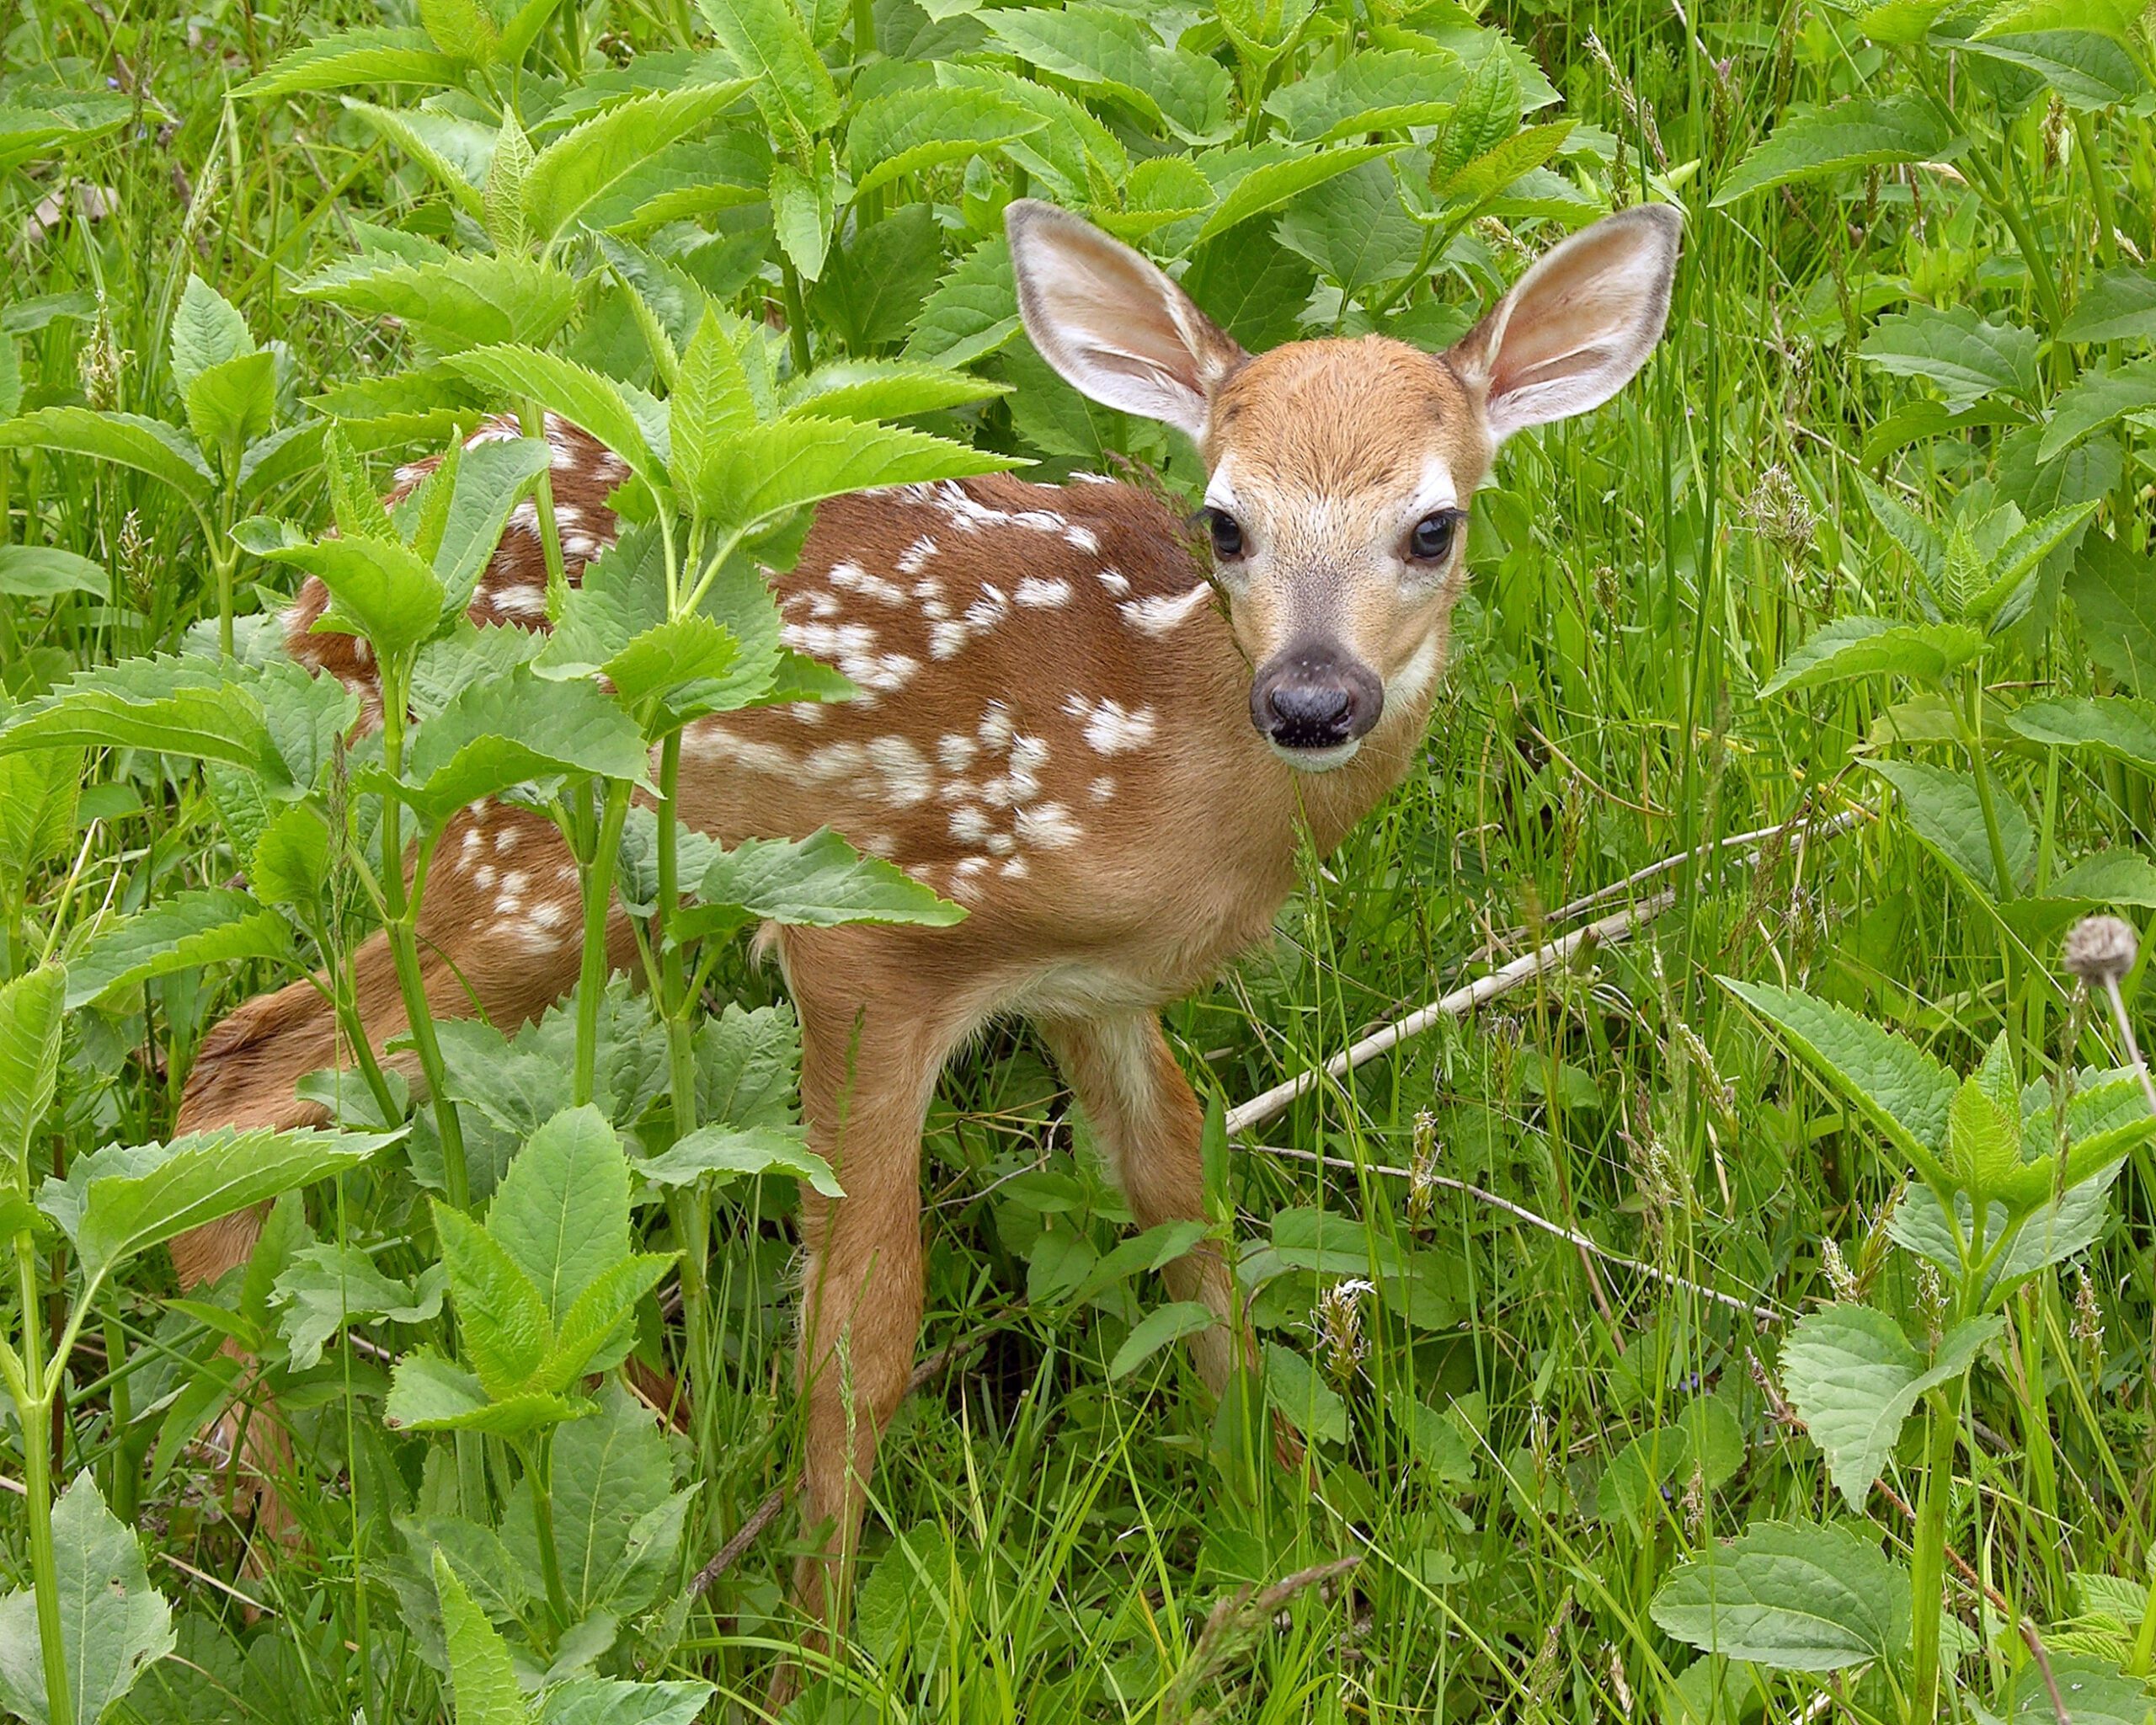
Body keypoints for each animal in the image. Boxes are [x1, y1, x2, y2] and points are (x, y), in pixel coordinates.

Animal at [168, 198, 1680, 1676]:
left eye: (1433, 527)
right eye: (1224, 523)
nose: (1313, 699)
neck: (1172, 768)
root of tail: (333, 587)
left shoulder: (1099, 993)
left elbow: (1192, 1229)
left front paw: (1302, 1541)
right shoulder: (876, 947)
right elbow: (859, 1336)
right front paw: (812, 1654)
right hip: (520, 845)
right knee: (242, 1064)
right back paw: (274, 1530)